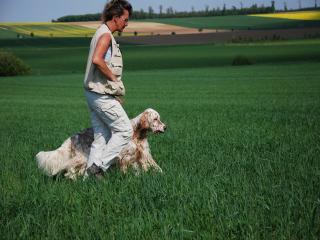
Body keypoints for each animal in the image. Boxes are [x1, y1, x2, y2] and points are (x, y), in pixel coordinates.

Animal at [37, 109, 168, 180]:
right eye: (155, 119)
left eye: (159, 118)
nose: (165, 127)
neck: (136, 132)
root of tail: (74, 136)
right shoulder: (124, 157)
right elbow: (126, 170)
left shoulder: (141, 155)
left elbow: (153, 168)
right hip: (83, 158)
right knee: (70, 172)